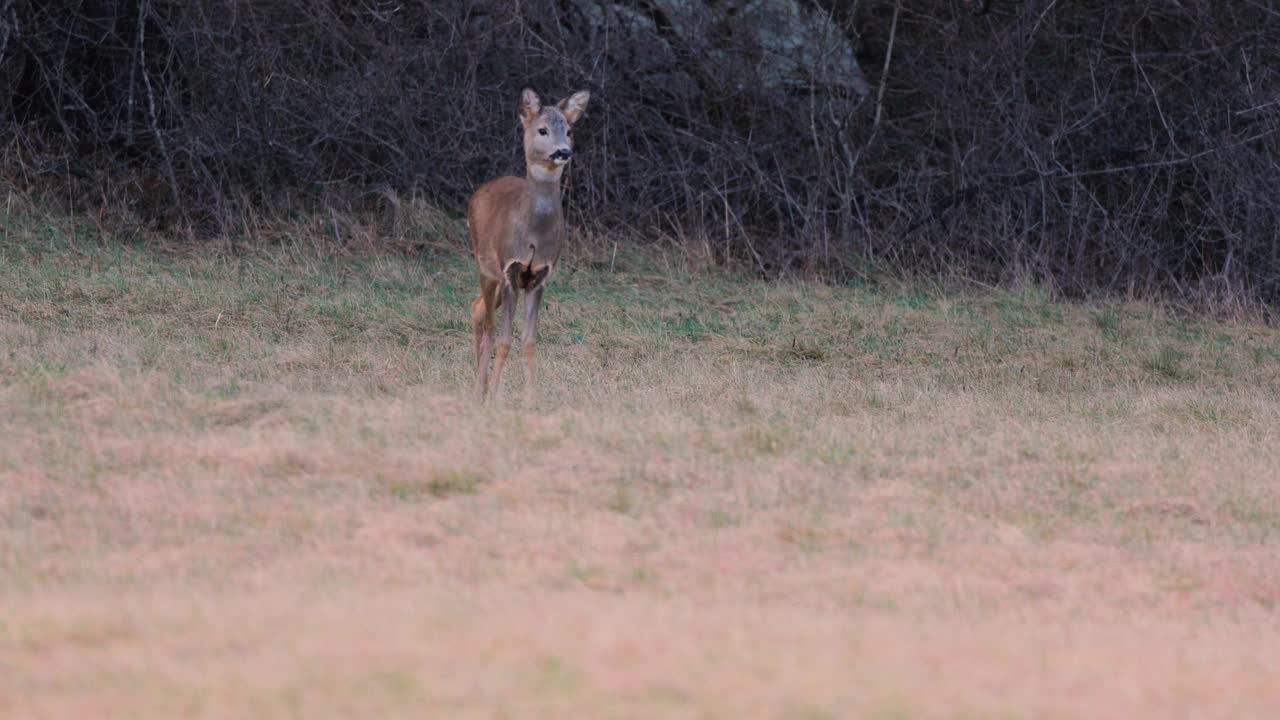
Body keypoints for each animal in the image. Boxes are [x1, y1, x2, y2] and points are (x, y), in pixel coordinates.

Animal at [468, 87, 591, 399]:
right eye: (542, 129)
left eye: (569, 130)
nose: (563, 151)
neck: (533, 236)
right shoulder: (510, 270)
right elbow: (504, 340)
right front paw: (494, 396)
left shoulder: (540, 276)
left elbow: (529, 341)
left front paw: (530, 399)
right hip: (485, 267)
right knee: (487, 326)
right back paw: (479, 389)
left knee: (477, 308)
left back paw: (480, 385)